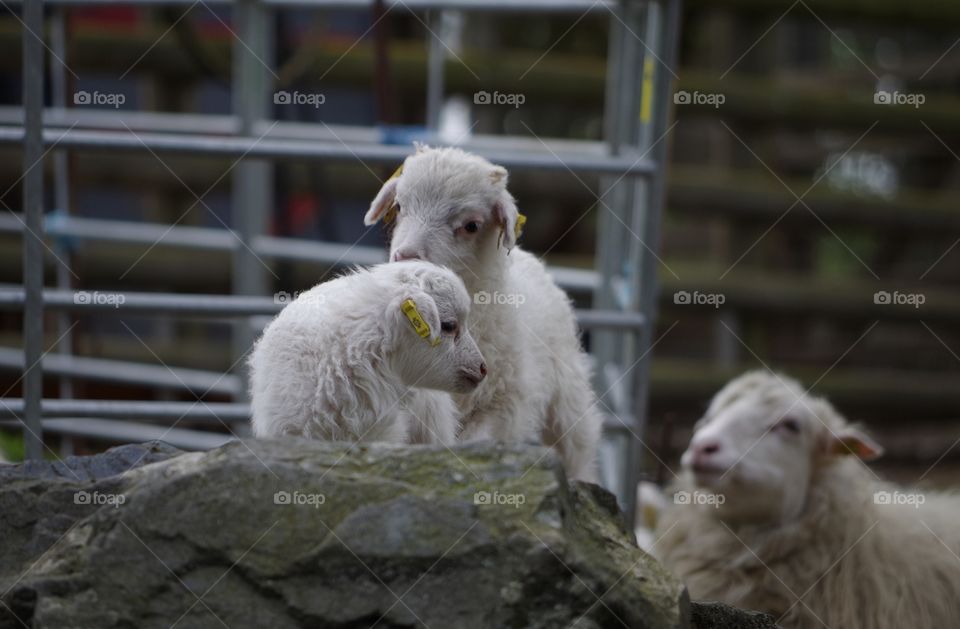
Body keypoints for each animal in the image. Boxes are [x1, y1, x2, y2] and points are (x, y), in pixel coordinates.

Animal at [364, 145, 604, 480]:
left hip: (567, 396)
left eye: (471, 225)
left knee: (577, 448)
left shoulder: (504, 404)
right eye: (399, 207)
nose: (406, 256)